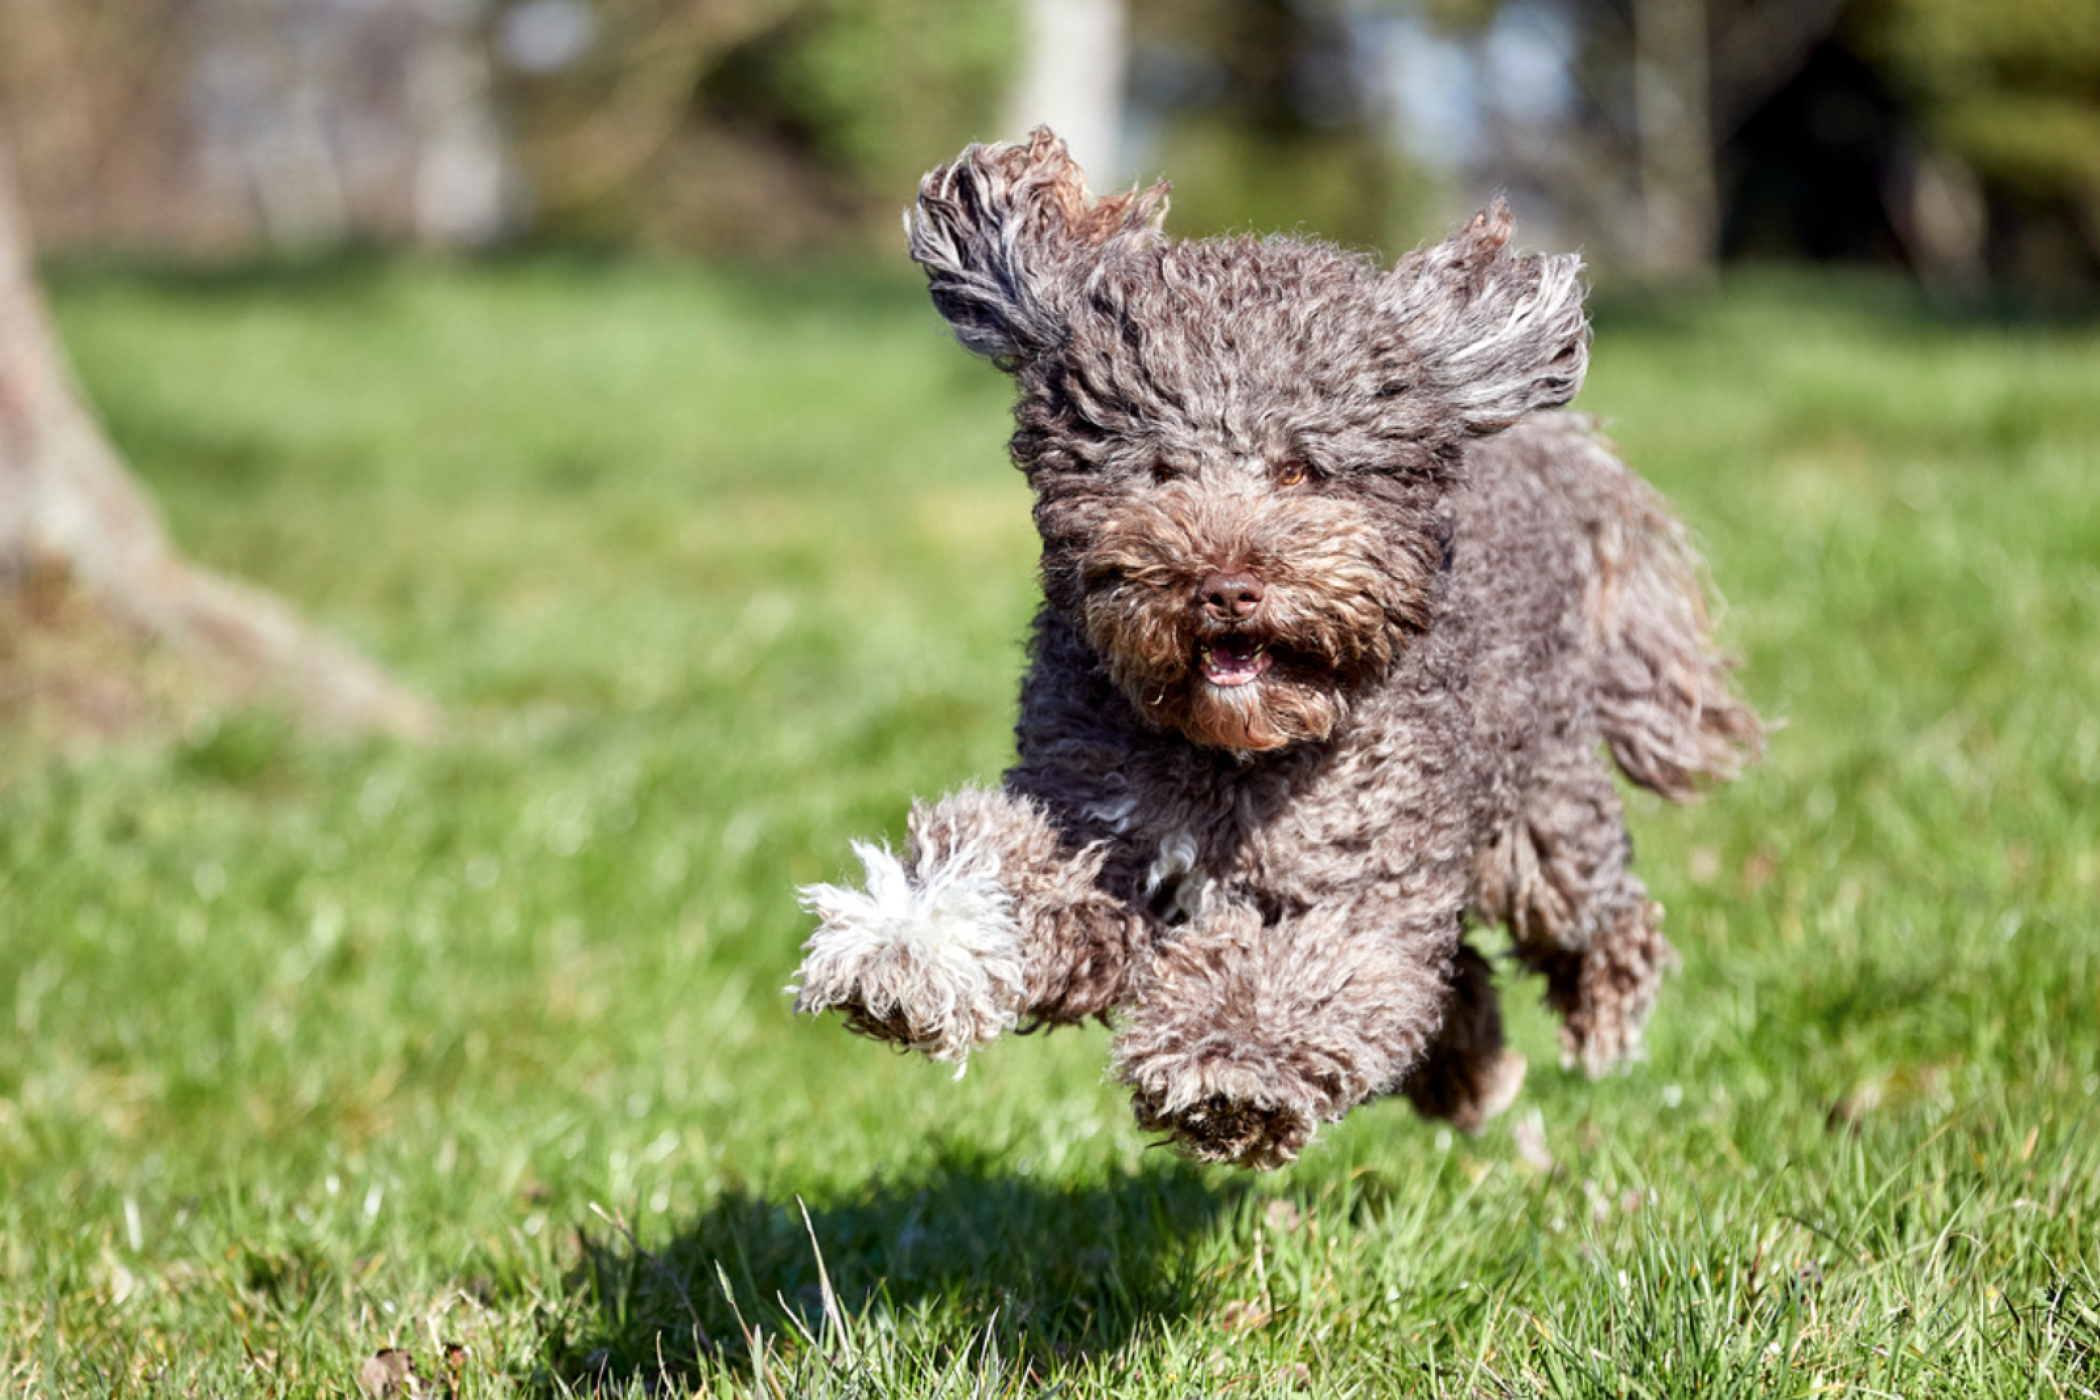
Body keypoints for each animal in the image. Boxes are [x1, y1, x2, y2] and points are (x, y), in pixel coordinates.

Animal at [789, 128, 1755, 1175]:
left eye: (1300, 470)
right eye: (1161, 469)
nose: (1225, 586)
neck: (1233, 757)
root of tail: (1549, 457)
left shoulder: (1365, 879)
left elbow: (1313, 968)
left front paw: (1230, 1064)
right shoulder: (1095, 835)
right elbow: (1000, 872)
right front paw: (908, 945)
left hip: (1539, 821)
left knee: (1597, 911)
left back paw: (1601, 1011)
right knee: (1458, 981)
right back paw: (1470, 1072)